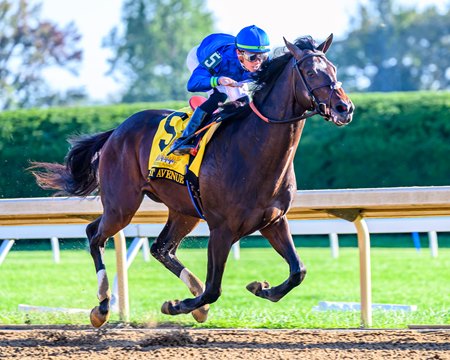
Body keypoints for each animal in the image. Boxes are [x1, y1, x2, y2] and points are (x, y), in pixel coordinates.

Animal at [31, 35, 356, 328]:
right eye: (312, 72)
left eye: (334, 69)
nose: (345, 108)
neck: (252, 150)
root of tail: (116, 130)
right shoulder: (222, 229)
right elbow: (214, 289)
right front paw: (177, 305)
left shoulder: (274, 221)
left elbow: (298, 270)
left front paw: (261, 288)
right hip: (122, 205)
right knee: (95, 235)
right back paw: (102, 307)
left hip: (183, 211)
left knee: (160, 248)